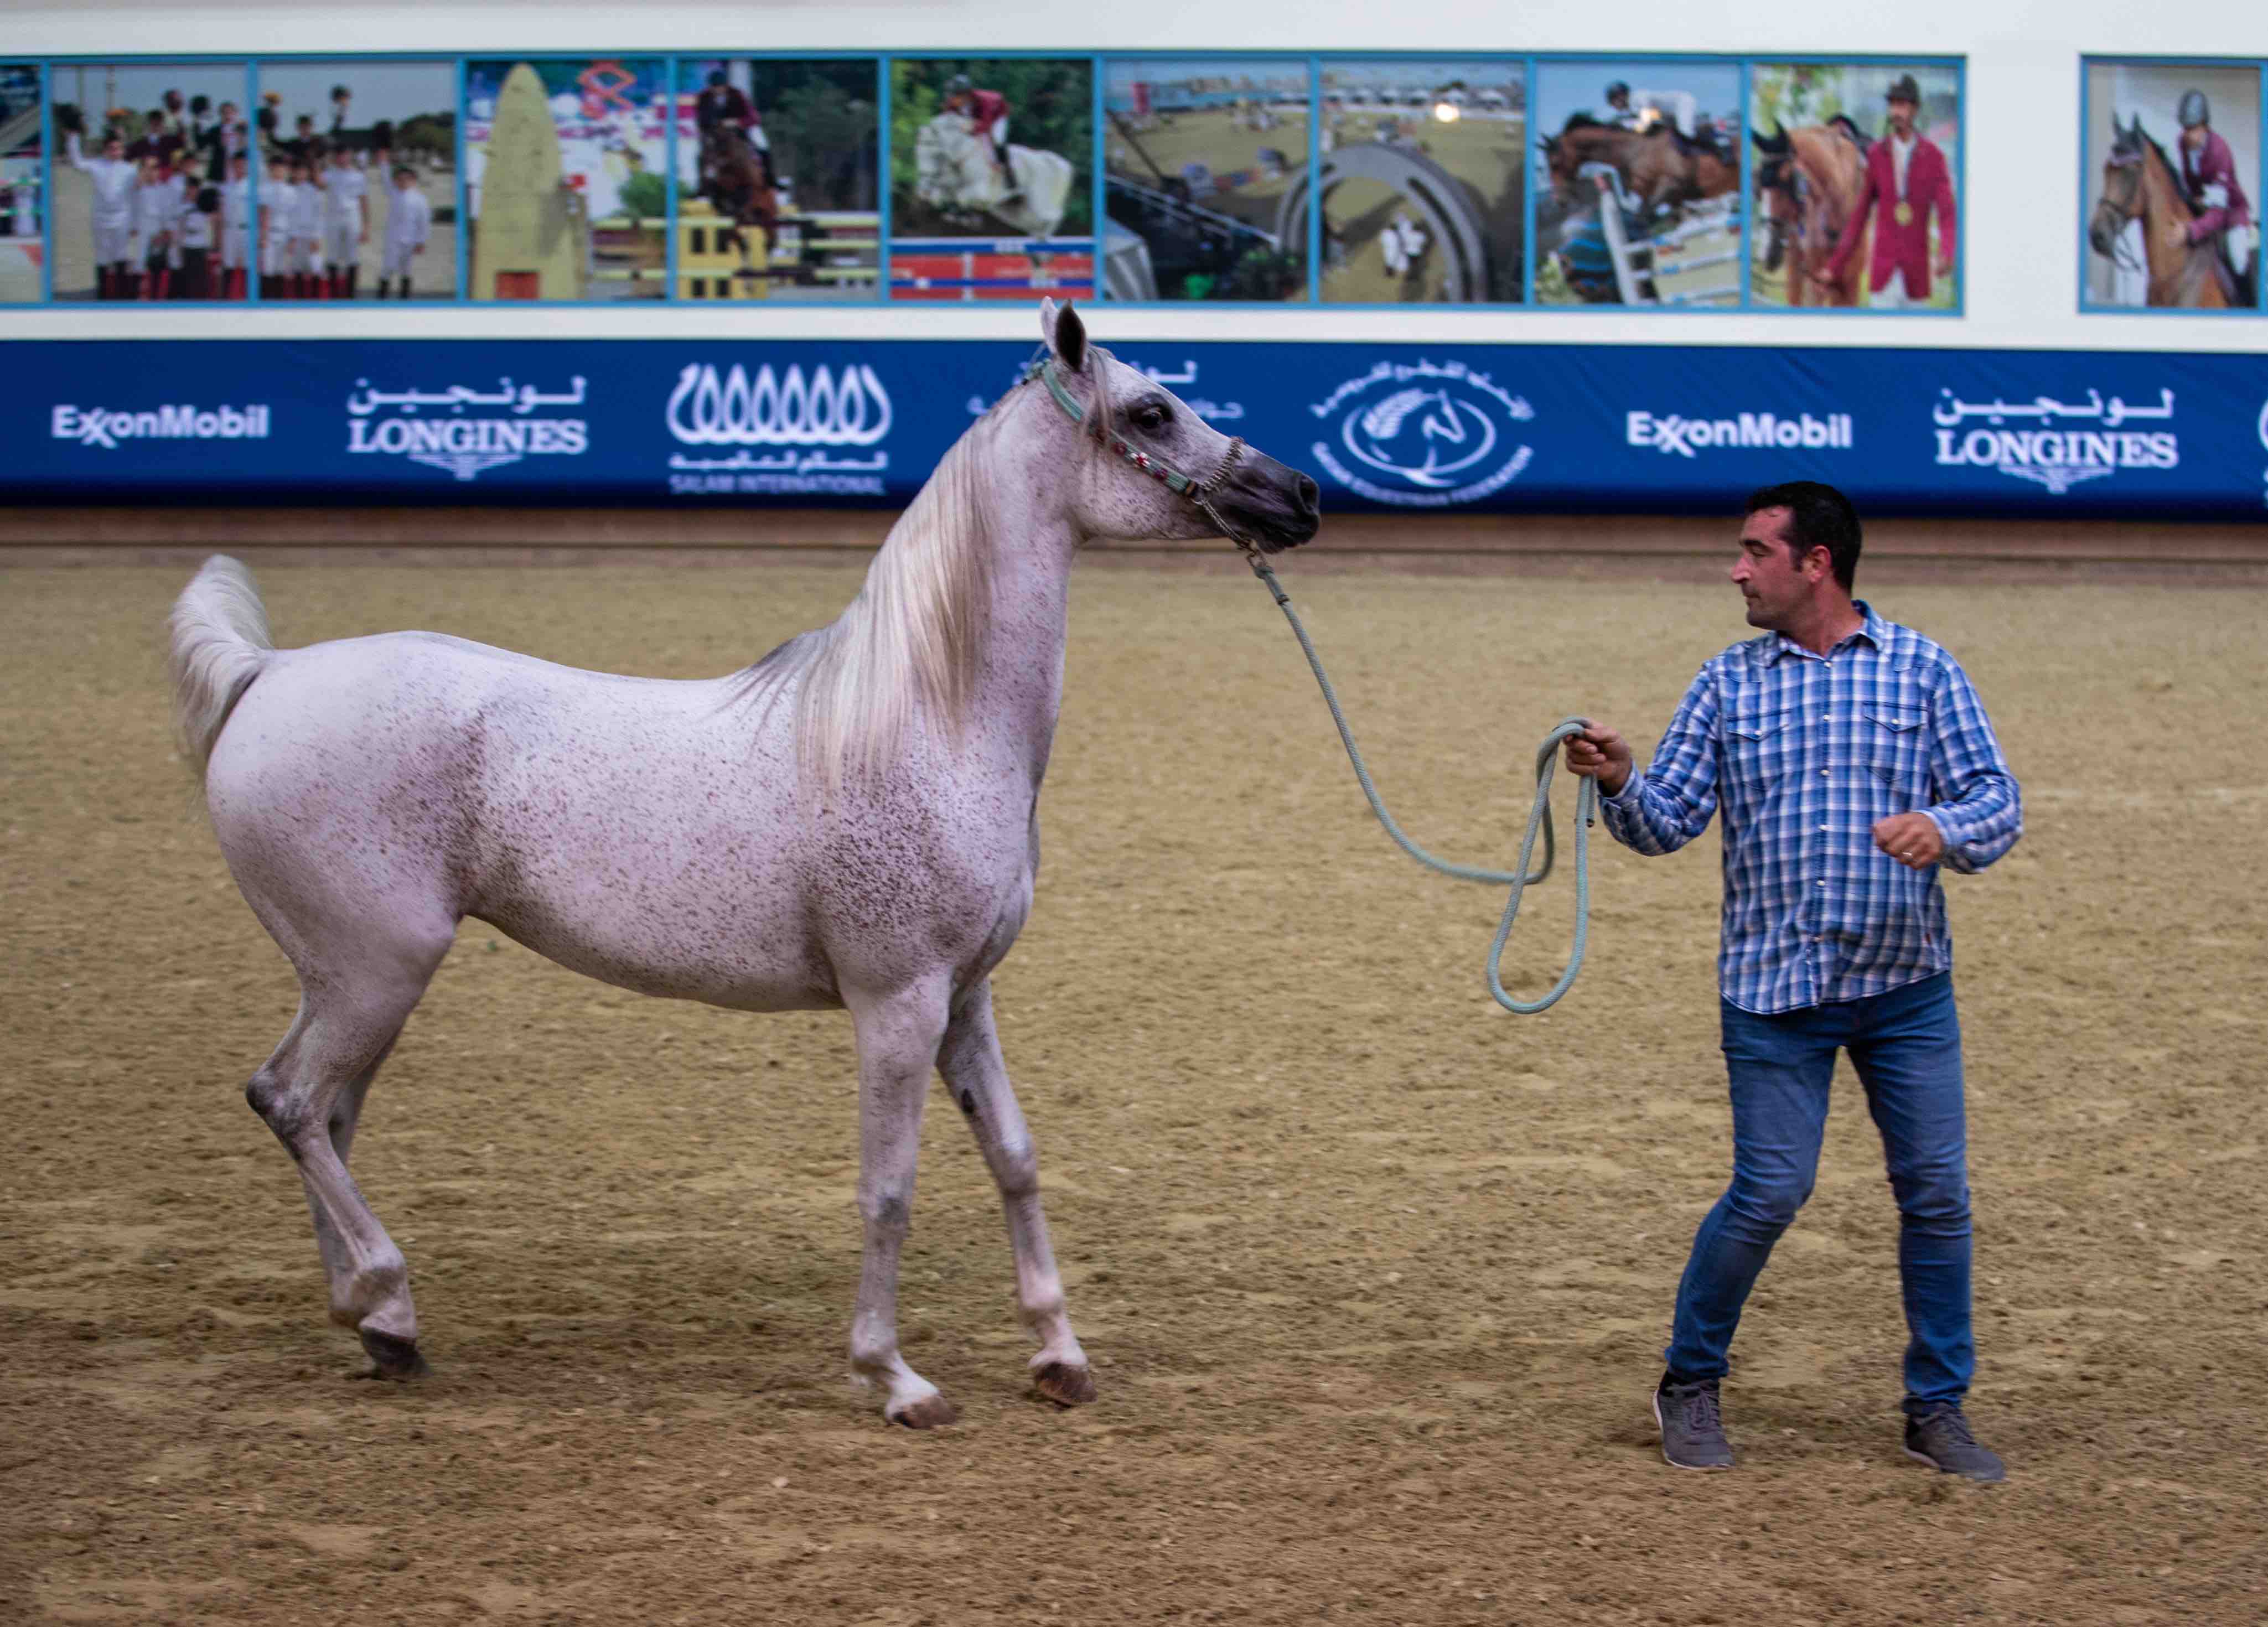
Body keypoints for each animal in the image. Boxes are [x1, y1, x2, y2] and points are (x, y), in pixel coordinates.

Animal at [167, 301, 1320, 1427]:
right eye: (1153, 410)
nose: (1298, 495)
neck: (927, 718)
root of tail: (268, 672)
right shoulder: (898, 1003)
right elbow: (888, 1188)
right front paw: (893, 1378)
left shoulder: (966, 997)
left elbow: (1015, 1159)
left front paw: (1058, 1358)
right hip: (376, 970)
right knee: (289, 1101)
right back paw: (384, 1294)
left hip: (358, 982)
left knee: (329, 1115)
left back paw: (381, 1329)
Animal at [914, 112, 1074, 240]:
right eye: (918, 154)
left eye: (937, 155)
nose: (924, 189)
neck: (961, 156)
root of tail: (1051, 160)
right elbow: (940, 197)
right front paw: (958, 216)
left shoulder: (981, 193)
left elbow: (960, 196)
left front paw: (966, 219)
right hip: (1016, 213)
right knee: (1036, 226)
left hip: (1038, 207)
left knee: (1053, 217)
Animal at [1540, 114, 1737, 219]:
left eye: (1555, 164)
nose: (1560, 201)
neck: (1634, 152)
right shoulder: (1669, 198)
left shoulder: (1671, 185)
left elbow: (1644, 215)